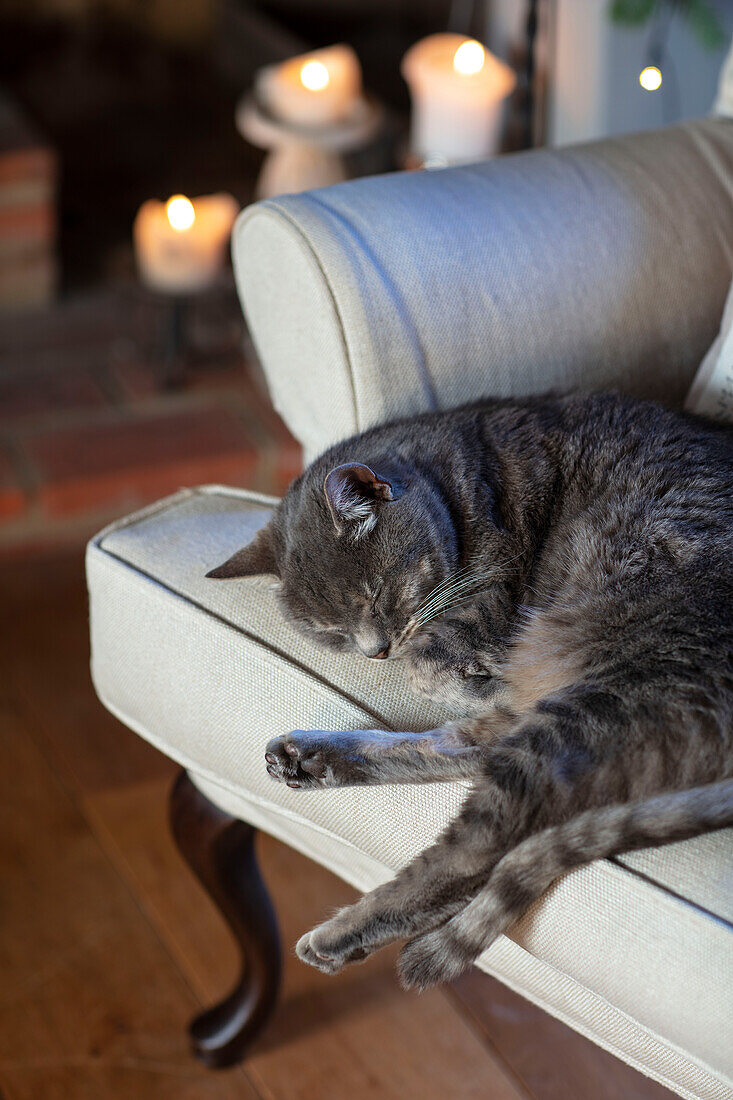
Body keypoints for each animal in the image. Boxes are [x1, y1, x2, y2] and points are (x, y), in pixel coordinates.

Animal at [205, 393, 730, 990]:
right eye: (329, 631)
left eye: (374, 594)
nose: (374, 651)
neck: (459, 480)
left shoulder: (491, 596)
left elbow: (431, 666)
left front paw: (475, 675)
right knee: (462, 754)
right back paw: (307, 759)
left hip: (600, 705)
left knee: (475, 850)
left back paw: (340, 934)